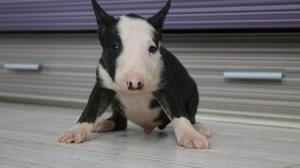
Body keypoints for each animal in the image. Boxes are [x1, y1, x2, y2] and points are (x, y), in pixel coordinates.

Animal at [58, 0, 212, 149]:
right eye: (115, 46)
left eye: (152, 48)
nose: (135, 83)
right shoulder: (102, 85)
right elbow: (91, 108)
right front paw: (75, 131)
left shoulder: (165, 86)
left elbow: (178, 111)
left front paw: (190, 135)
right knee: (120, 122)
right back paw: (104, 123)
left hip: (193, 92)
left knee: (190, 115)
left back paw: (198, 128)